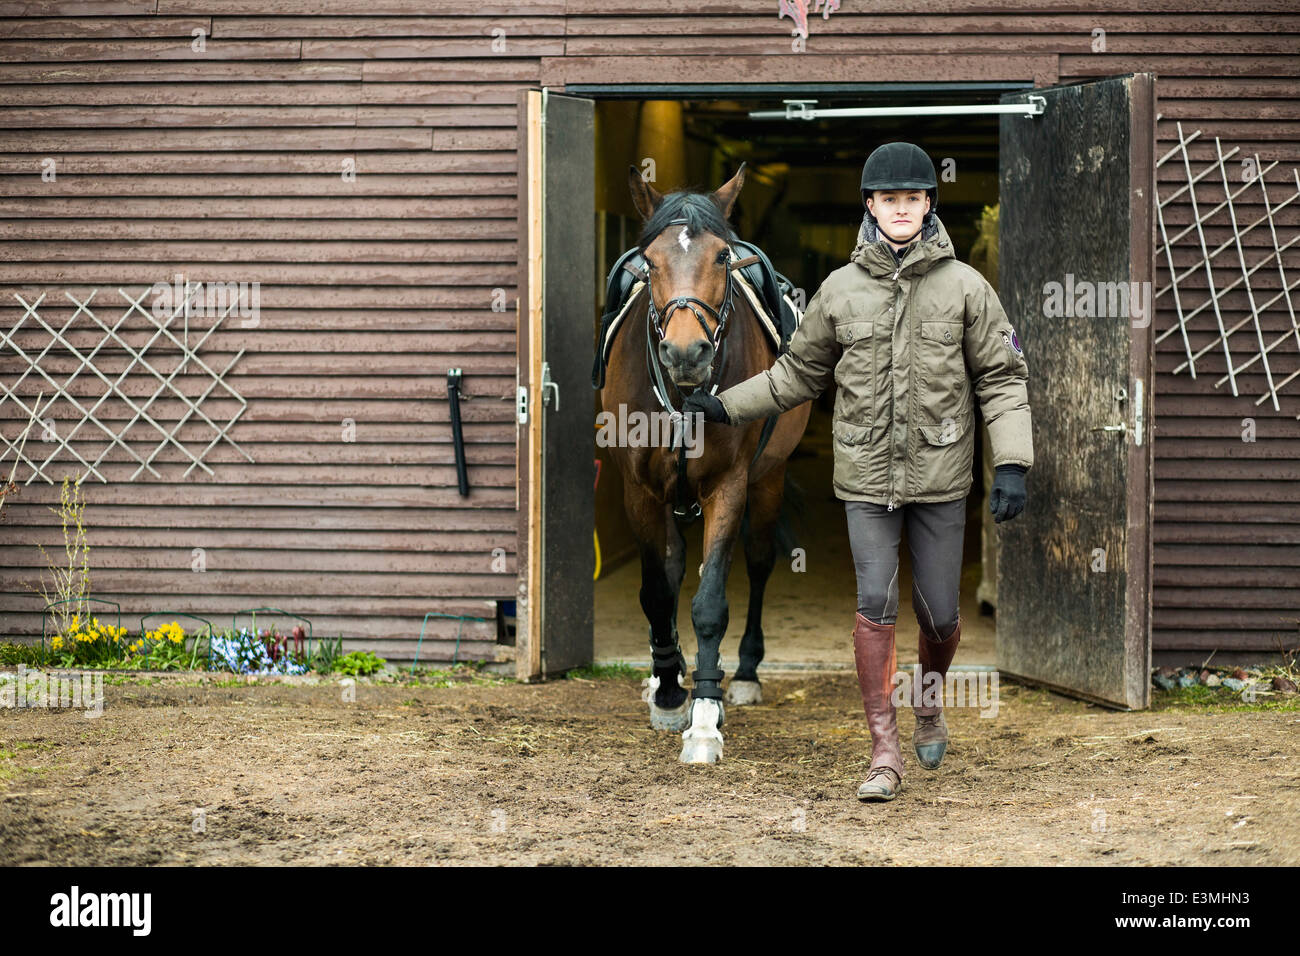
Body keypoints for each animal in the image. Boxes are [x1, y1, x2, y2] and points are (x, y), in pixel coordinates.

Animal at [600, 164, 806, 764]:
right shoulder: (639, 489)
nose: (686, 352)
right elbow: (656, 589)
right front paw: (671, 692)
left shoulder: (727, 485)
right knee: (670, 570)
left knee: (758, 562)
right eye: (649, 261)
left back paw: (745, 673)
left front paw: (706, 717)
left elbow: (711, 599)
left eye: (721, 257)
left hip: (769, 480)